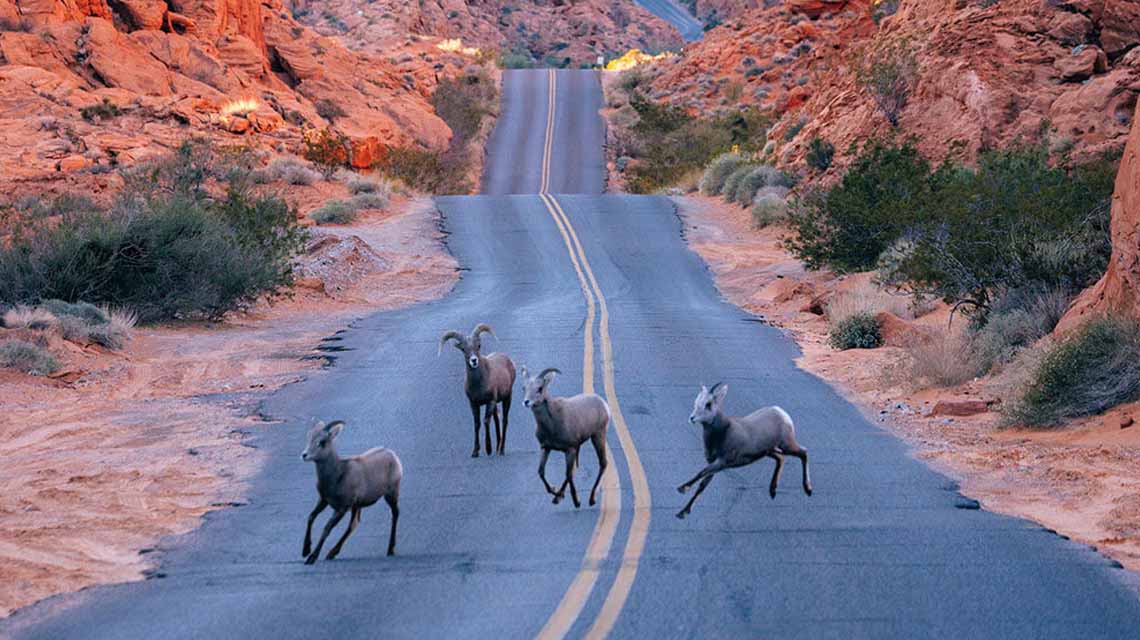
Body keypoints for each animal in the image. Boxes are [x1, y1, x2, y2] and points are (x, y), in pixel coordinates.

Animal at [300, 420, 402, 564]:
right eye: (309, 437)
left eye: (322, 441)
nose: (304, 455)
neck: (338, 474)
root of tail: (392, 455)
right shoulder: (323, 501)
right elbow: (311, 517)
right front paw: (305, 551)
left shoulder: (342, 508)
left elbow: (327, 528)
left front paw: (312, 557)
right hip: (357, 506)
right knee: (353, 525)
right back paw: (332, 553)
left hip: (391, 494)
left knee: (395, 514)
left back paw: (390, 550)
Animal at [439, 323, 516, 457]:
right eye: (463, 349)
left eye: (478, 346)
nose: (474, 360)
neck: (479, 384)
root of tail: (509, 361)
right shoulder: (473, 404)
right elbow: (477, 424)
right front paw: (475, 451)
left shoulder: (490, 401)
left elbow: (485, 421)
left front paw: (488, 449)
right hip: (496, 404)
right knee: (496, 418)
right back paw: (497, 447)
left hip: (507, 397)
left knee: (504, 420)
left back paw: (501, 450)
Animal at [521, 366, 609, 508]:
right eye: (524, 388)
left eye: (540, 388)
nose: (526, 402)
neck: (552, 424)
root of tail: (603, 404)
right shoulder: (546, 448)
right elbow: (541, 472)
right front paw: (556, 493)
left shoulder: (570, 450)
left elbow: (568, 474)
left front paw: (576, 501)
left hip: (598, 435)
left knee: (603, 463)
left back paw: (592, 499)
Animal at [675, 382, 812, 519]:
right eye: (696, 402)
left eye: (708, 404)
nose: (692, 418)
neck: (723, 432)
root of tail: (782, 413)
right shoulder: (715, 465)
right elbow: (702, 485)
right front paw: (683, 512)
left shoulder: (721, 463)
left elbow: (701, 473)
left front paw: (682, 489)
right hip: (770, 451)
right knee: (781, 458)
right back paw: (772, 491)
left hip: (786, 445)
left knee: (803, 452)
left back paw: (808, 490)